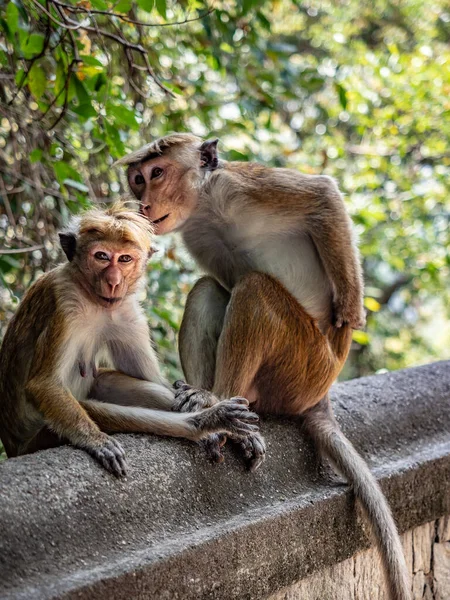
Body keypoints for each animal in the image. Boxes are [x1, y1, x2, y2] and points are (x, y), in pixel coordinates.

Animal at [0, 202, 258, 478]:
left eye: (125, 259)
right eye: (101, 256)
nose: (114, 282)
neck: (93, 299)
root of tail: (12, 446)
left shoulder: (126, 312)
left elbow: (151, 379)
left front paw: (201, 400)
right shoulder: (64, 300)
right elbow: (43, 384)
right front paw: (96, 440)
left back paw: (213, 420)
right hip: (38, 438)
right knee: (90, 407)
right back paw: (205, 423)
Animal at [117, 136, 412, 600]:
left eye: (156, 173)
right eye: (137, 179)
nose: (143, 203)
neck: (208, 207)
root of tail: (320, 397)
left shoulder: (244, 186)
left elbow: (323, 196)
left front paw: (350, 311)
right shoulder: (197, 233)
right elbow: (220, 280)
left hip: (303, 367)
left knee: (255, 290)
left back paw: (221, 410)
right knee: (211, 289)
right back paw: (210, 410)